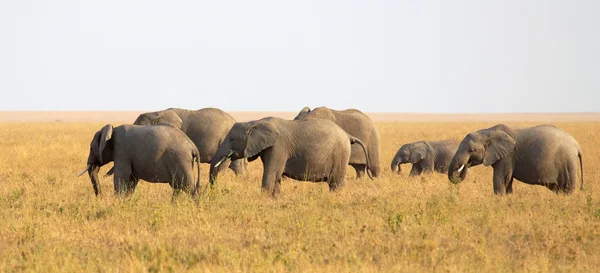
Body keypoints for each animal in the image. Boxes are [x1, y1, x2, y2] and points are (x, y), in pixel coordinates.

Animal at [209, 117, 372, 196]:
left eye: (232, 139)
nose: (213, 190)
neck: (255, 122)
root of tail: (348, 135)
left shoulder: (278, 147)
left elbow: (270, 175)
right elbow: (276, 178)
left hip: (340, 154)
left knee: (336, 183)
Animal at [448, 123, 584, 193]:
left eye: (471, 150)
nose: (466, 163)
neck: (488, 131)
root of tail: (577, 146)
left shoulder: (507, 156)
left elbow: (501, 179)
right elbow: (508, 181)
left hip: (567, 162)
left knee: (567, 188)